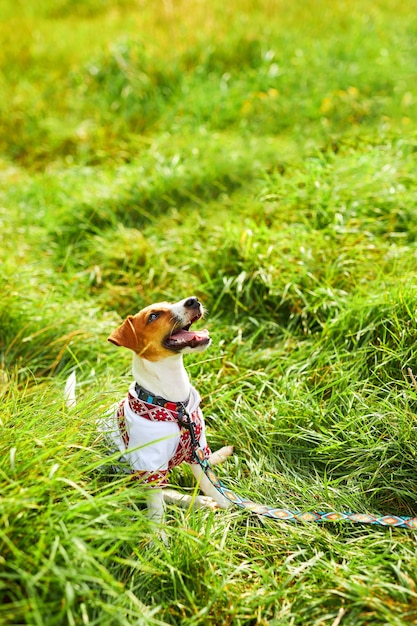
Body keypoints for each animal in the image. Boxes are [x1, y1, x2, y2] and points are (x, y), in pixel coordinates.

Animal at [101, 296, 231, 528]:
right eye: (153, 316)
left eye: (170, 303)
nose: (193, 300)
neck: (175, 405)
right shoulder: (149, 464)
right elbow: (156, 511)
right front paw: (159, 537)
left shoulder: (197, 449)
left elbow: (208, 481)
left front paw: (227, 503)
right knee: (157, 491)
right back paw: (195, 502)